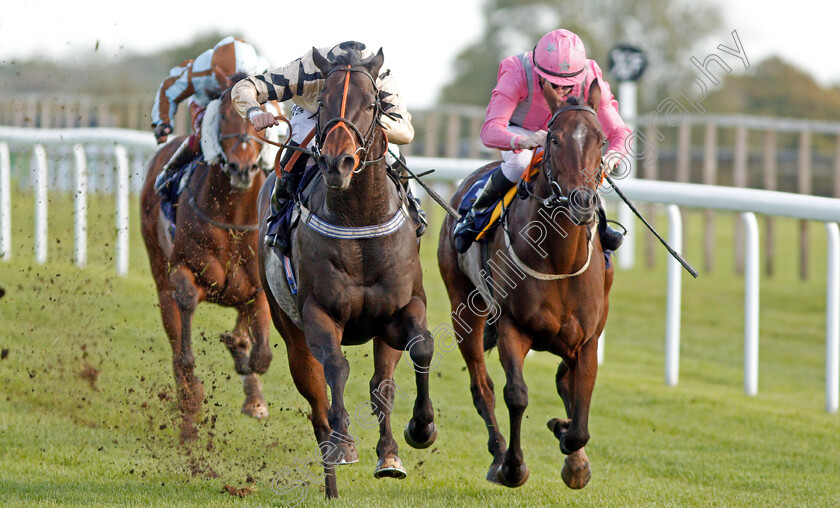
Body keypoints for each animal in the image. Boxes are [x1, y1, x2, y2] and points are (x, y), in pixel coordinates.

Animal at [141, 80, 272, 440]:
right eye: (224, 116)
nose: (242, 168)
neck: (234, 218)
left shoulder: (258, 285)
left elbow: (260, 352)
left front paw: (244, 359)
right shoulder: (184, 271)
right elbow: (186, 302)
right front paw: (192, 393)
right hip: (159, 273)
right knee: (173, 328)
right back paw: (188, 396)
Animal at [258, 47, 436, 500]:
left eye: (373, 104)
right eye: (322, 102)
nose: (338, 162)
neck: (359, 221)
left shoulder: (402, 309)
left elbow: (420, 350)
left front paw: (420, 429)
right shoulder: (318, 313)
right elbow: (336, 368)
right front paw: (344, 445)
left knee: (381, 385)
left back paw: (389, 455)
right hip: (290, 331)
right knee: (318, 402)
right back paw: (331, 479)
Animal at [440, 81, 612, 490]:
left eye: (599, 139)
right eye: (553, 139)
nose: (582, 201)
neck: (560, 261)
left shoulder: (587, 340)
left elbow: (580, 410)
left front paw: (572, 452)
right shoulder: (511, 327)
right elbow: (515, 395)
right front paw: (513, 467)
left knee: (564, 381)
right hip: (463, 312)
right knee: (481, 387)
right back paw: (498, 455)